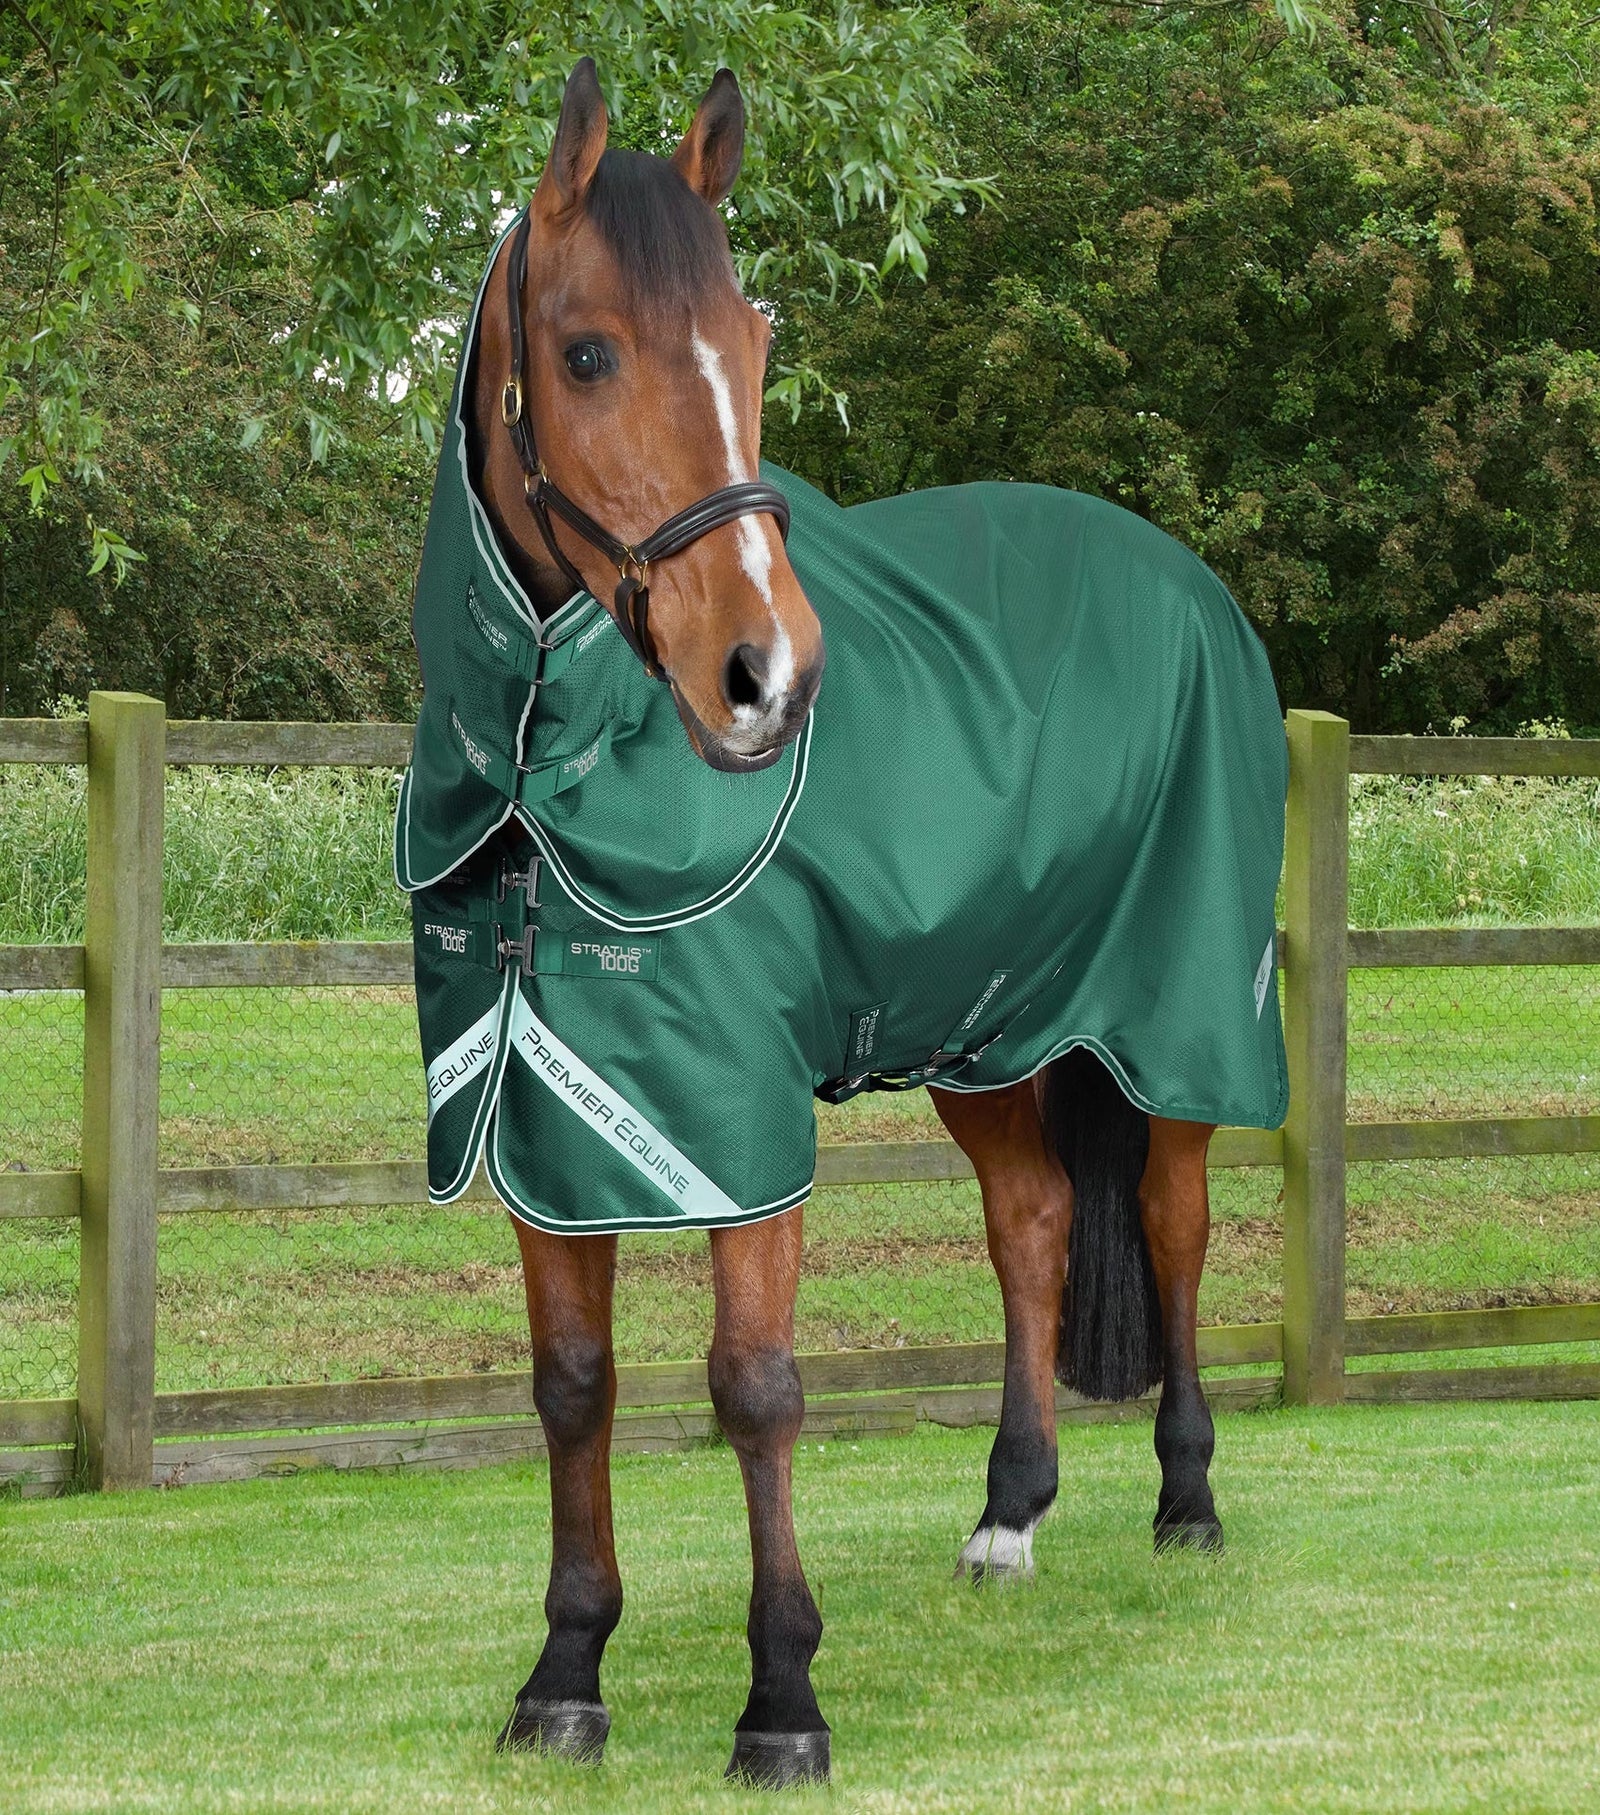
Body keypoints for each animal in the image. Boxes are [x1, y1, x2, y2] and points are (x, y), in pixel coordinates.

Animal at [398, 58, 1287, 1789]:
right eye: (588, 350)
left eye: (753, 347)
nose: (770, 677)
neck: (550, 774)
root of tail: (1191, 584)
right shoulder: (544, 1111)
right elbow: (572, 1386)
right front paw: (565, 1672)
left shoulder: (734, 1119)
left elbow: (754, 1386)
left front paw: (782, 1699)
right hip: (990, 1032)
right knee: (1033, 1223)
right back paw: (1010, 1515)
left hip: (1176, 1024)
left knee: (1171, 1221)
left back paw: (1192, 1499)